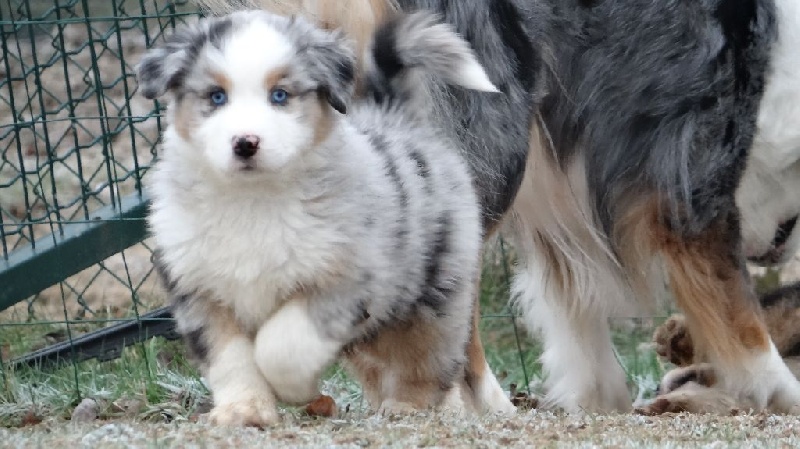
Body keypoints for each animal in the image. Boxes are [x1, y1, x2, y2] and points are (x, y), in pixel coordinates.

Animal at [136, 9, 515, 426]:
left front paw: (298, 391)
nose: (246, 143)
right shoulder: (201, 290)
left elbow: (280, 347)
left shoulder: (343, 282)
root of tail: (397, 118)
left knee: (429, 357)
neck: (252, 199)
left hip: (433, 292)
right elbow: (232, 359)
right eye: (216, 97)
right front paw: (244, 411)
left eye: (280, 95)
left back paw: (409, 405)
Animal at [193, 0, 800, 415]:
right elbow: (740, 315)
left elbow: (572, 310)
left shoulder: (562, 187)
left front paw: (597, 399)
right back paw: (483, 408)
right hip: (488, 128)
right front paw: (779, 393)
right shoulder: (691, 175)